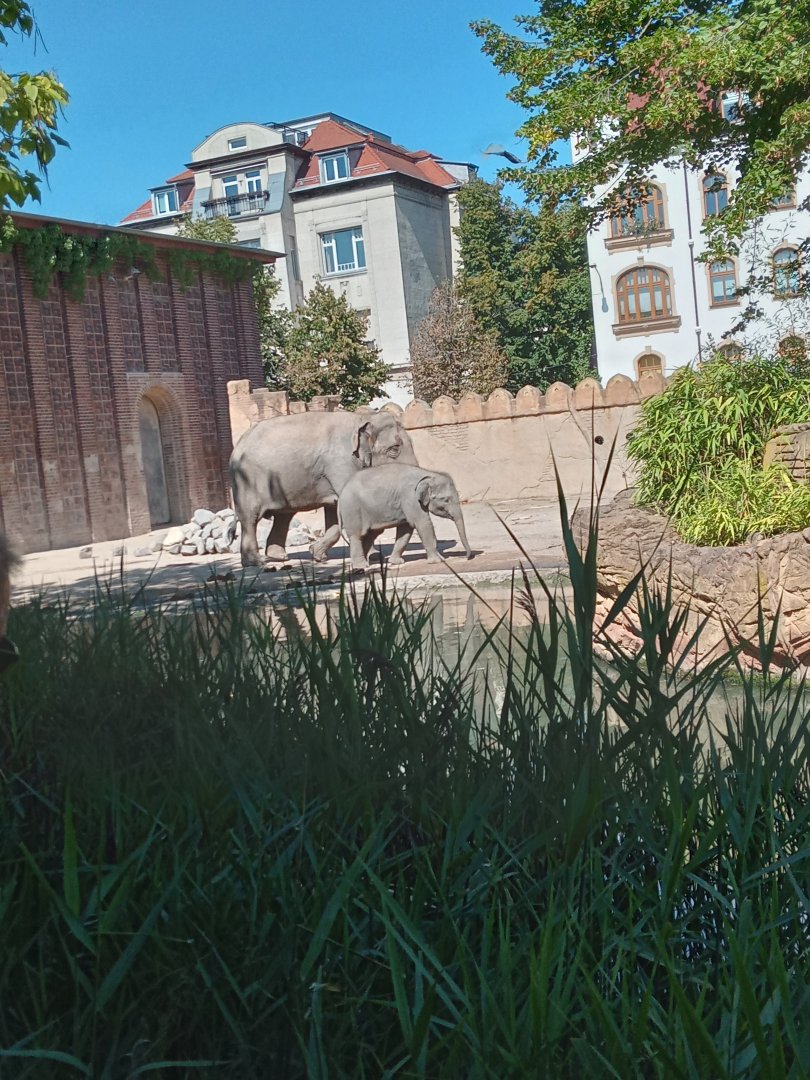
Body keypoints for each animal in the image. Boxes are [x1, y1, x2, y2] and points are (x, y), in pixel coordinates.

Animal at [229, 410, 418, 567]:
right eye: (394, 449)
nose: (395, 561)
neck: (363, 417)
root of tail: (238, 444)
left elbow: (335, 511)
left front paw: (317, 555)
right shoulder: (341, 464)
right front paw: (372, 556)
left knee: (284, 516)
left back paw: (279, 557)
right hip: (247, 481)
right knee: (250, 518)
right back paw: (256, 562)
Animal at [337, 464, 474, 571]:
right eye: (445, 500)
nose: (467, 557)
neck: (427, 474)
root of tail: (341, 494)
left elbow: (406, 529)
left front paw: (396, 562)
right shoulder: (410, 497)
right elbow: (422, 523)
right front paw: (439, 560)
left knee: (369, 535)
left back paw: (360, 565)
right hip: (352, 509)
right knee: (357, 535)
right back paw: (361, 566)